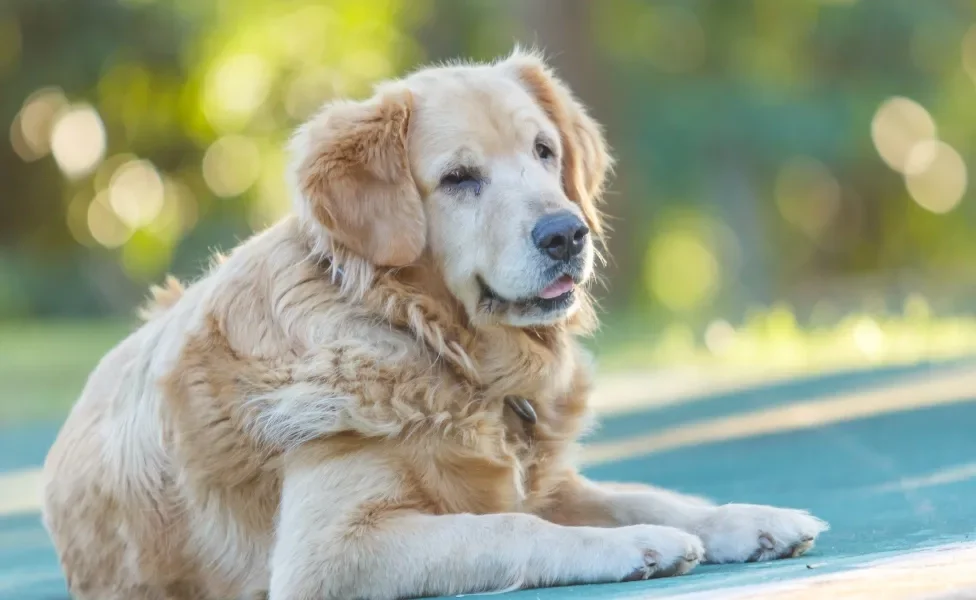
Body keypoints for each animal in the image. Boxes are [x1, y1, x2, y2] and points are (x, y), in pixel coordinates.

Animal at [42, 51, 828, 600]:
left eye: (544, 151)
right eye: (458, 180)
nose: (566, 234)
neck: (438, 350)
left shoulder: (545, 479)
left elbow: (646, 495)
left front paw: (750, 521)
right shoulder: (331, 552)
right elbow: (513, 526)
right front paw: (640, 546)